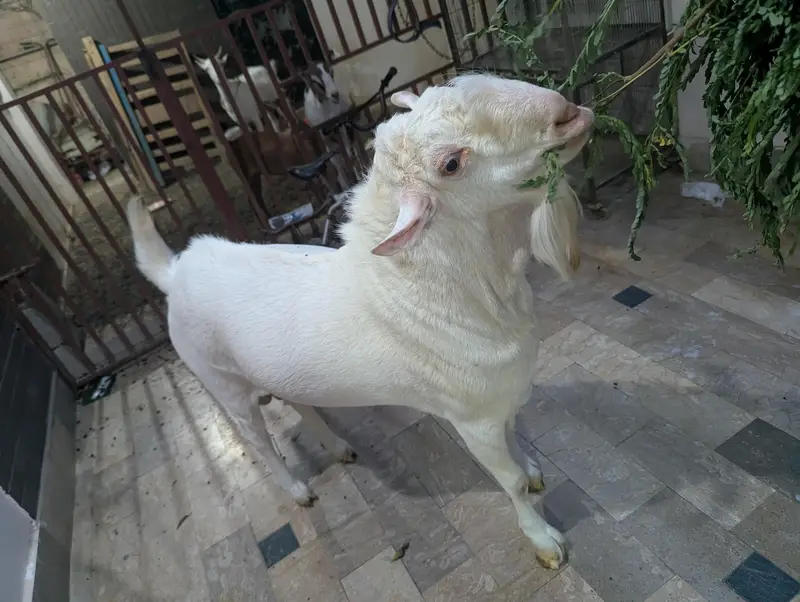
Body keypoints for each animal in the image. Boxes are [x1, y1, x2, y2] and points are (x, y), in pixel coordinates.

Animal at [127, 73, 592, 570]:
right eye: (451, 164)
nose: (568, 113)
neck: (426, 293)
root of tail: (176, 271)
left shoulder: (500, 401)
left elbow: (518, 446)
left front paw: (533, 469)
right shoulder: (473, 420)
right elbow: (512, 484)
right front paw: (545, 542)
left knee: (300, 402)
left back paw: (336, 447)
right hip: (224, 384)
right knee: (257, 440)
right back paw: (298, 490)